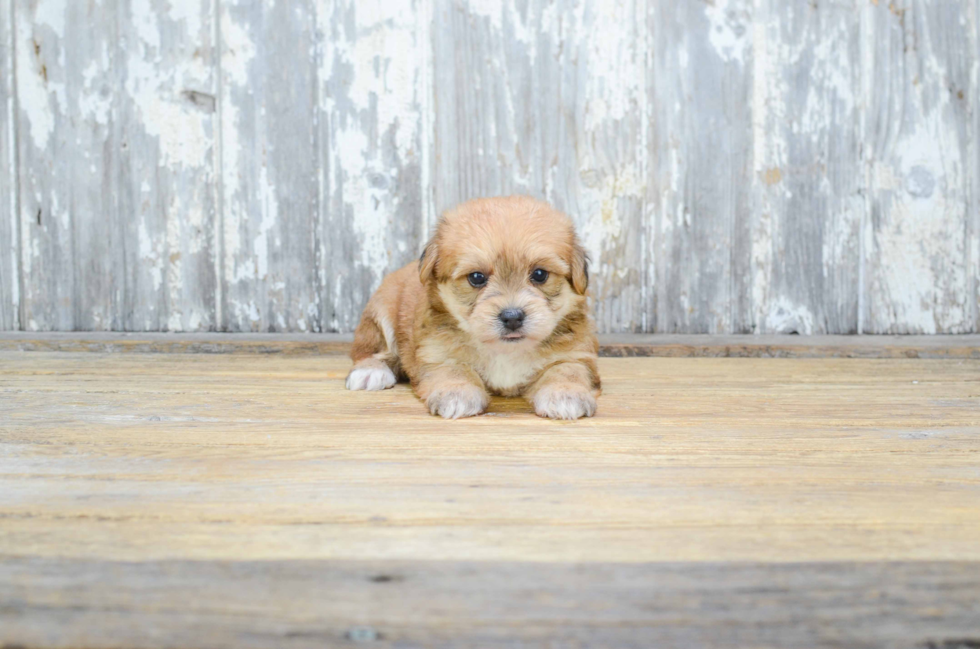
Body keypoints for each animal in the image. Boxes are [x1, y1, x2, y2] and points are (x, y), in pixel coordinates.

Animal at [348, 196, 600, 420]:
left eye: (540, 274)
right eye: (477, 277)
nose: (512, 317)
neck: (505, 351)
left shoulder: (577, 354)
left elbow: (567, 370)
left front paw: (566, 394)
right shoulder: (438, 353)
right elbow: (454, 369)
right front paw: (457, 392)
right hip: (380, 314)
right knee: (370, 350)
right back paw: (371, 371)